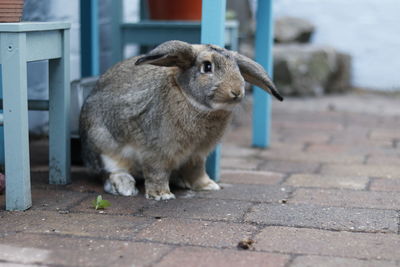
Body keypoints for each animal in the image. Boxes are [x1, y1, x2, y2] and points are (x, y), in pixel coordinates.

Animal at [79, 40, 282, 201]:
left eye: (238, 69)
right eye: (207, 67)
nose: (237, 92)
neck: (189, 98)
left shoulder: (196, 155)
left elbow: (197, 171)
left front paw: (207, 186)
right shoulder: (156, 151)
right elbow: (156, 172)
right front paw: (161, 195)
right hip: (104, 145)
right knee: (110, 171)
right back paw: (124, 186)